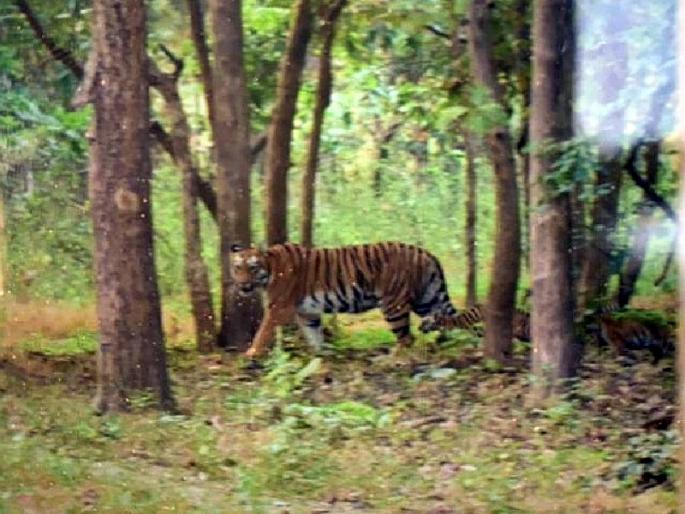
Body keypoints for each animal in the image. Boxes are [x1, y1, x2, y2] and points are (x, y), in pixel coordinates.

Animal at [230, 241, 459, 357]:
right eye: (237, 267)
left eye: (252, 268)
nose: (242, 285)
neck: (269, 268)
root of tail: (426, 253)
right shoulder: (307, 313)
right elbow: (315, 335)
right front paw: (321, 357)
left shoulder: (278, 308)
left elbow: (262, 332)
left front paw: (250, 354)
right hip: (427, 299)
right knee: (448, 320)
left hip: (394, 304)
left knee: (407, 338)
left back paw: (391, 358)